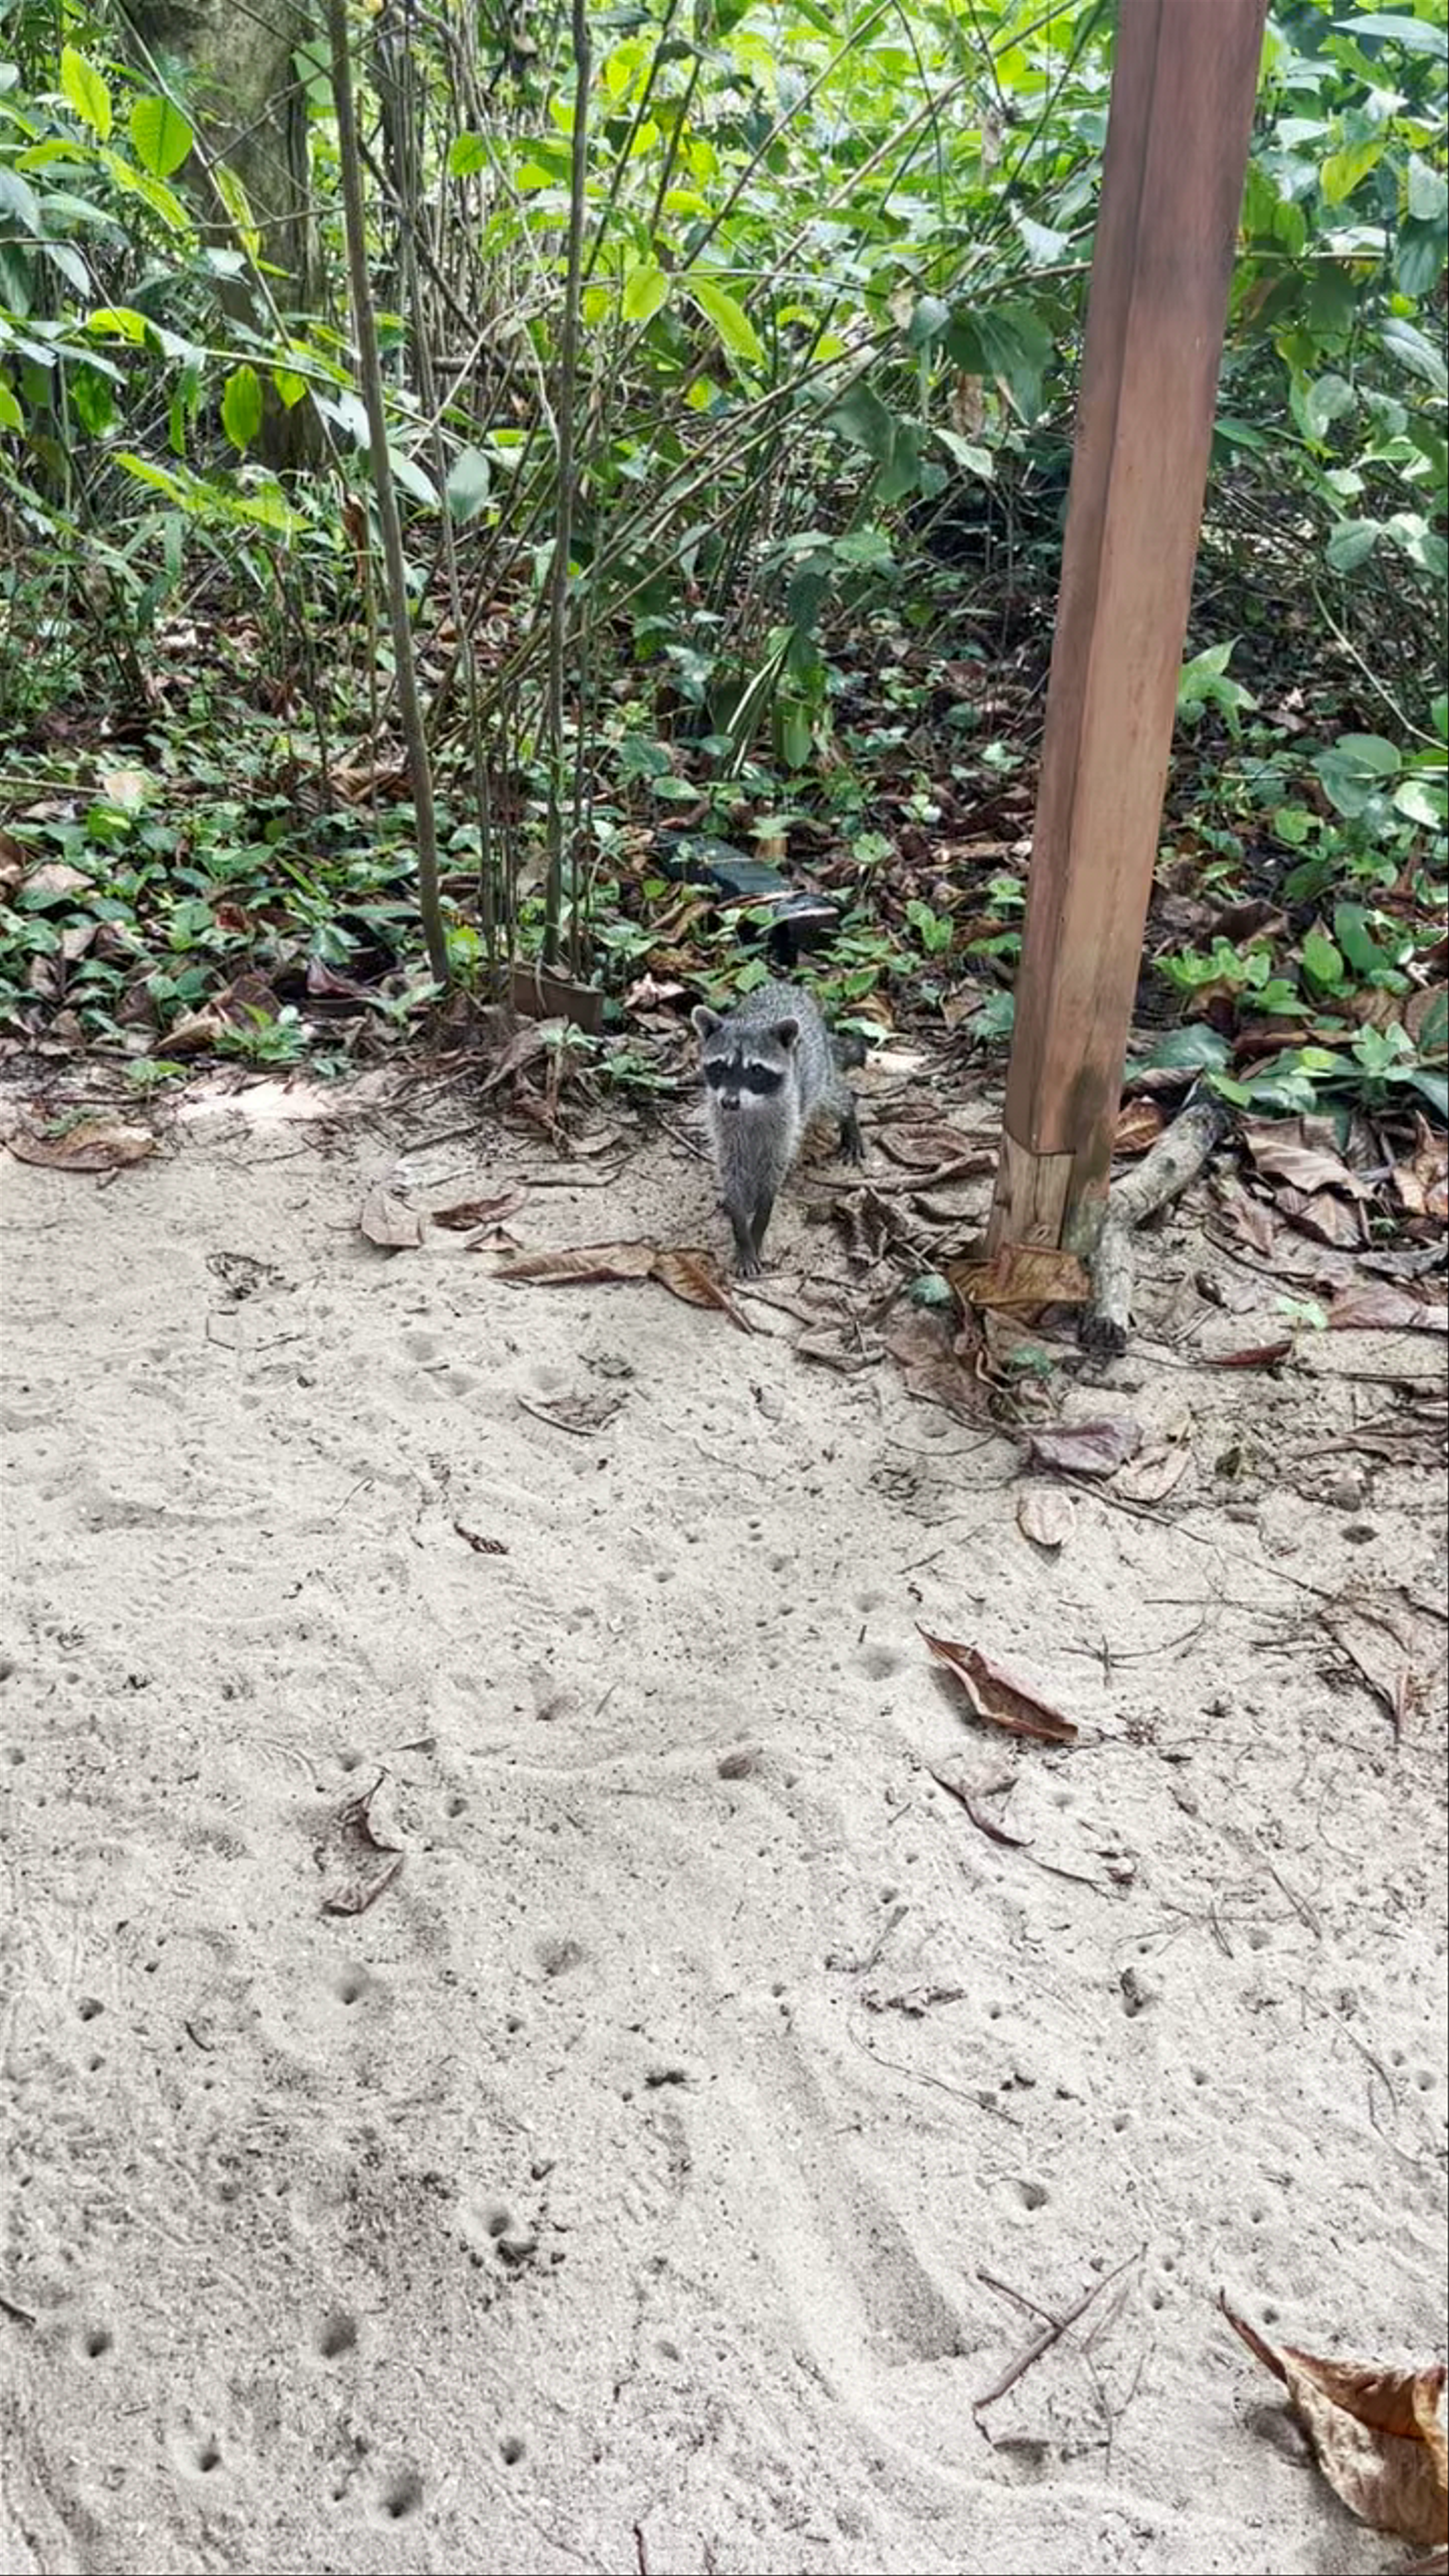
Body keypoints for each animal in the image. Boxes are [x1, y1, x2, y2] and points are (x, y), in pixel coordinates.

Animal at [691, 980, 863, 1276]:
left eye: (756, 1070)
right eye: (721, 1066)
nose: (730, 1102)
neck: (751, 1108)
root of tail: (788, 986)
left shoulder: (785, 1122)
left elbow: (773, 1177)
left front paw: (758, 1227)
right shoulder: (723, 1126)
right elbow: (732, 1171)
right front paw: (741, 1230)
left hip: (817, 1073)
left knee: (832, 1096)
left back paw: (848, 1115)